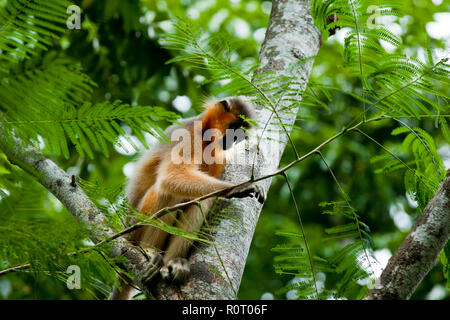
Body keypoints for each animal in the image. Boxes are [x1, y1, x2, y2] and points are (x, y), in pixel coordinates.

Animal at [111, 97, 266, 300]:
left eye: (239, 136)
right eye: (234, 129)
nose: (232, 142)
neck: (204, 136)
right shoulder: (188, 134)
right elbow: (171, 177)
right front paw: (238, 187)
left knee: (201, 200)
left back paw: (170, 264)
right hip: (134, 227)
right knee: (167, 192)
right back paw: (149, 251)